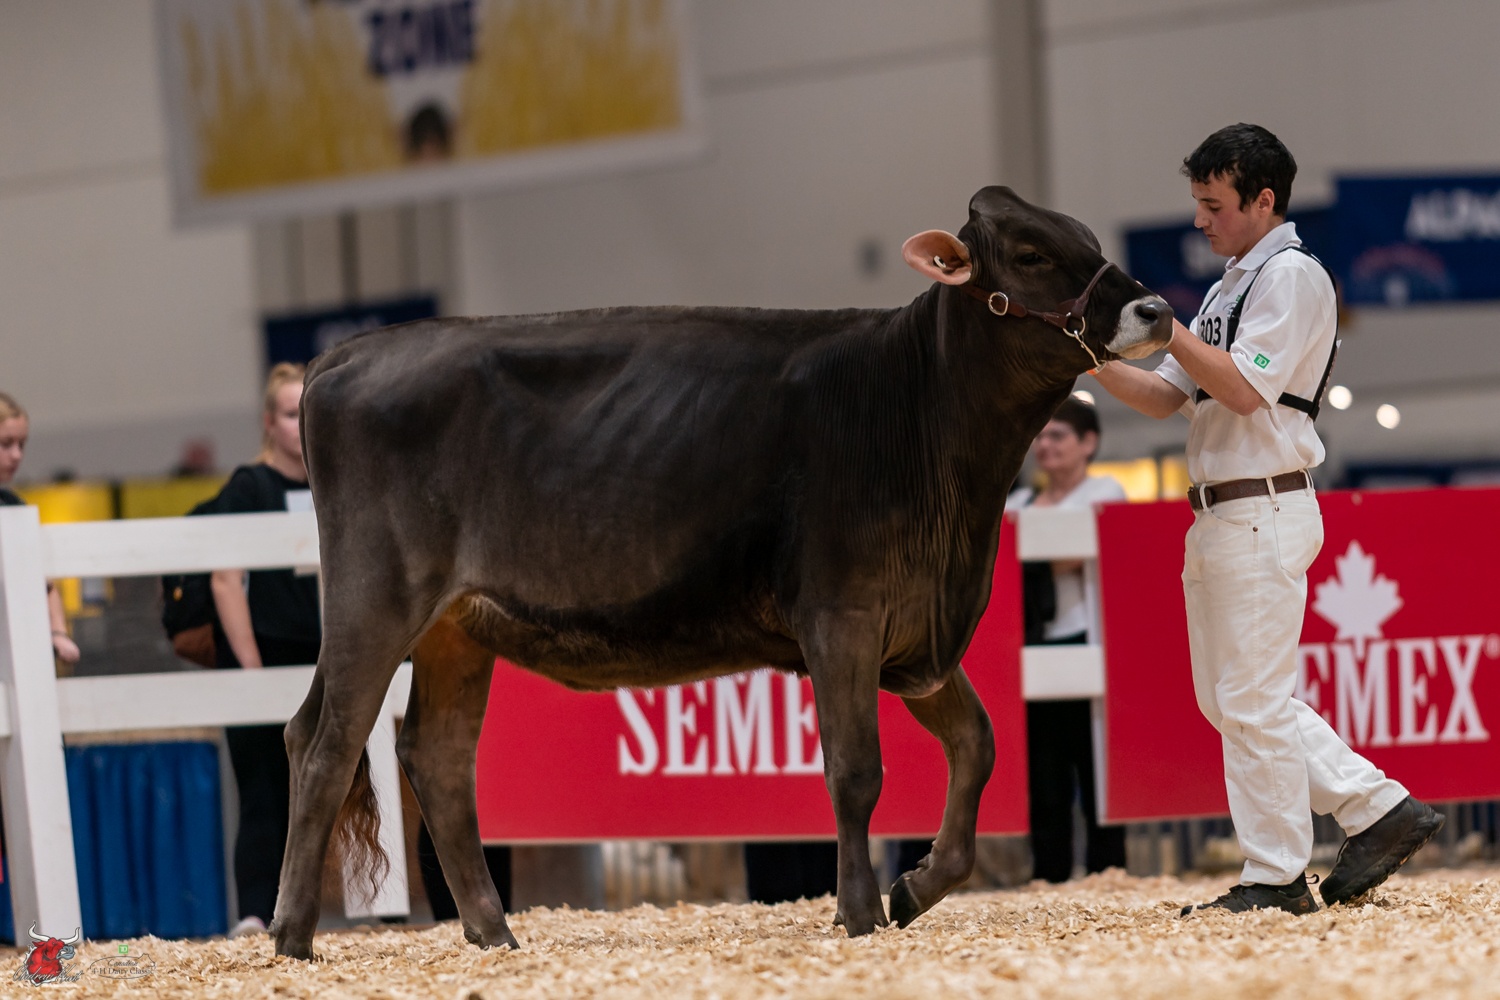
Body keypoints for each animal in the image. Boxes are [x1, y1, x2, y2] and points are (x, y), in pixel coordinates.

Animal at [272, 186, 1174, 959]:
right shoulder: (841, 617)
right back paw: (293, 938)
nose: (1157, 310)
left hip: (457, 625)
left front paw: (916, 887)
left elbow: (978, 745)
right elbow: (856, 772)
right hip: (376, 597)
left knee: (436, 755)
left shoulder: (912, 631)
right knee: (325, 741)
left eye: (1086, 238)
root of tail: (348, 354)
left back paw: (493, 932)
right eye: (1030, 252)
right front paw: (859, 913)